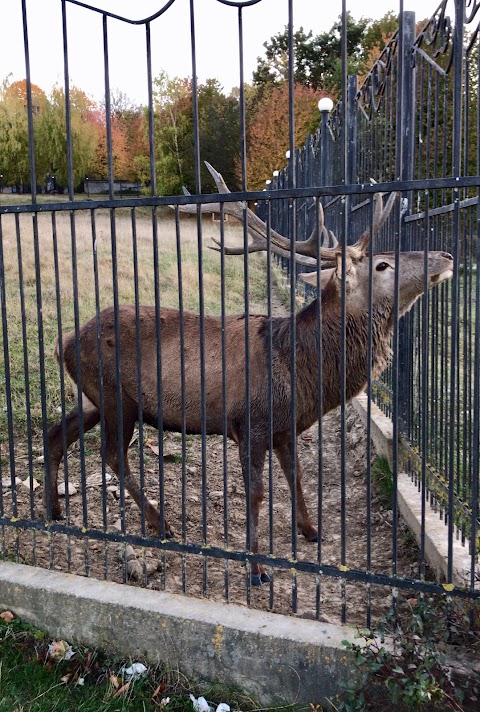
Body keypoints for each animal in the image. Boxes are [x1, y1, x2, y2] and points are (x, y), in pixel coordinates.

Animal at [45, 165, 454, 584]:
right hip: (116, 397)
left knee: (56, 433)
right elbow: (256, 492)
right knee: (113, 454)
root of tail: (64, 341)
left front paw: (311, 530)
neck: (301, 372)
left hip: (92, 396)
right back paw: (161, 523)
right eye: (382, 265)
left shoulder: (286, 428)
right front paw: (257, 567)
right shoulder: (250, 422)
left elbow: (296, 476)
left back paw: (54, 510)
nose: (446, 254)